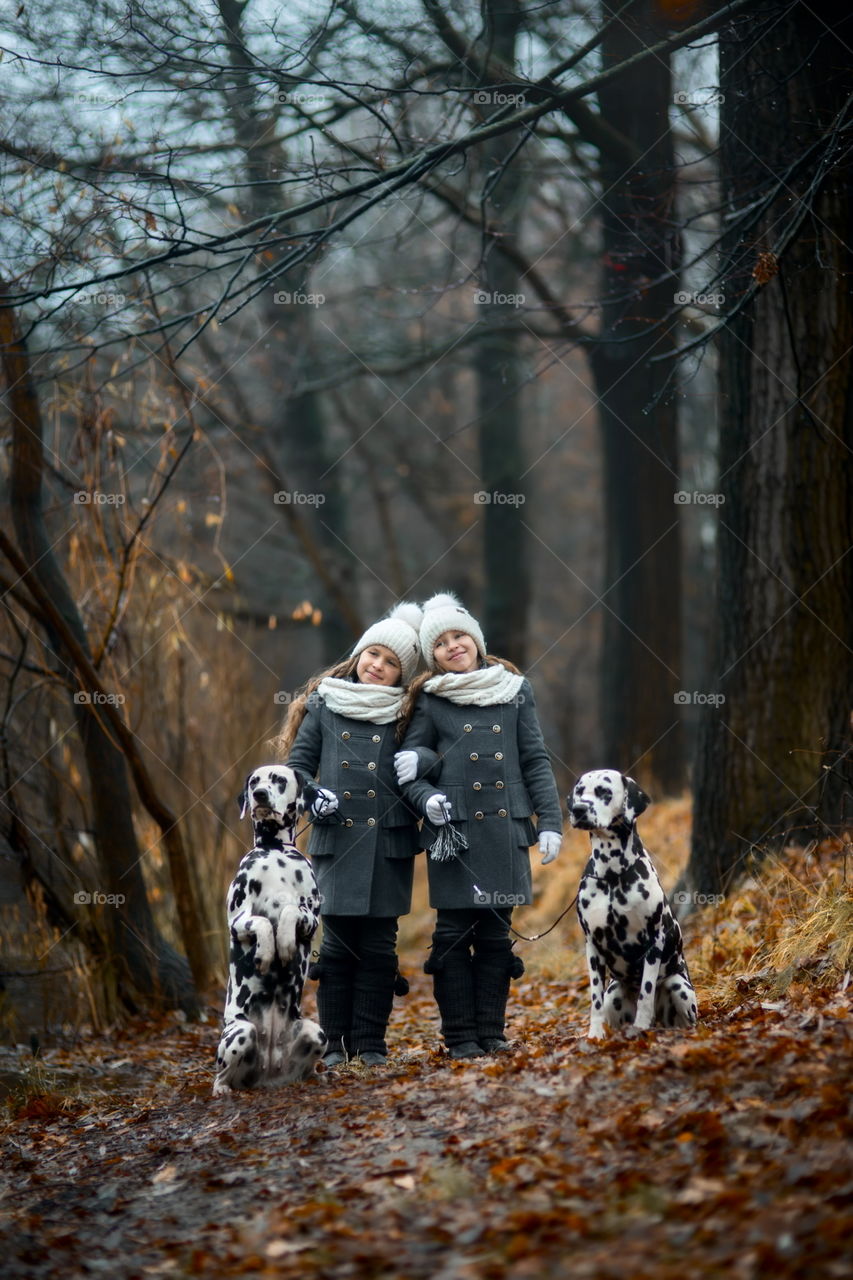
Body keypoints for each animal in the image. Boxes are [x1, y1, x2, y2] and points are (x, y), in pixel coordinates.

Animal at [212, 762, 333, 1095]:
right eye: (254, 781)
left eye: (279, 779)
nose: (259, 794)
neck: (274, 850)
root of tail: (269, 1072)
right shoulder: (237, 920)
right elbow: (263, 921)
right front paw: (268, 952)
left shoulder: (311, 918)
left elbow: (290, 911)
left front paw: (286, 943)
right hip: (240, 1032)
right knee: (222, 1074)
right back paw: (222, 1089)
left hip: (317, 1033)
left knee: (307, 1066)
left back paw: (316, 1076)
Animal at [568, 768, 696, 1039]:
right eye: (579, 792)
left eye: (604, 792)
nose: (579, 809)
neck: (611, 873)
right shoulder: (592, 946)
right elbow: (594, 998)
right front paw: (595, 1034)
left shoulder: (653, 941)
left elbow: (646, 991)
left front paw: (641, 1027)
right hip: (614, 992)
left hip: (678, 985)